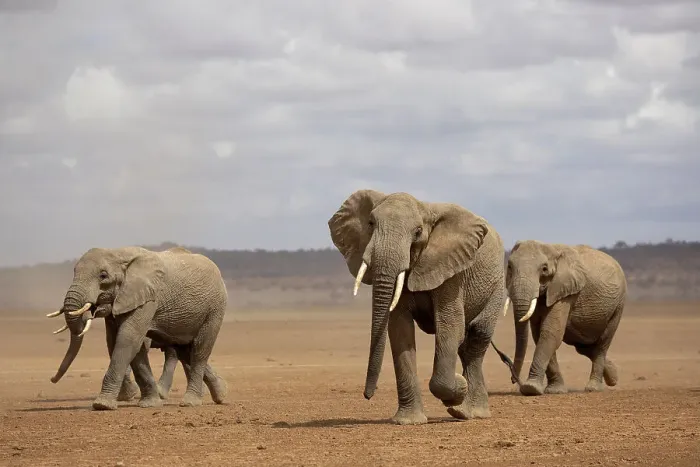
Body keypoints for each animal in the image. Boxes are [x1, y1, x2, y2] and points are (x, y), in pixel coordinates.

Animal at [46, 246, 229, 410]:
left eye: (103, 276)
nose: (52, 379)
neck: (119, 253)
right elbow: (119, 343)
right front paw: (149, 404)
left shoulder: (148, 298)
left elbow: (128, 339)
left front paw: (102, 405)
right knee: (184, 350)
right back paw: (222, 395)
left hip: (215, 308)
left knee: (199, 351)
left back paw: (191, 402)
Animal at [328, 190, 507, 425]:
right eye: (371, 223)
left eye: (418, 232)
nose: (368, 395)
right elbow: (400, 330)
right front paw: (408, 422)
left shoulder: (452, 270)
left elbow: (449, 325)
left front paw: (459, 385)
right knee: (465, 345)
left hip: (497, 285)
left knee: (477, 336)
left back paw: (468, 411)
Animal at [504, 239, 627, 396]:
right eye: (509, 266)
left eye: (544, 269)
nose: (514, 380)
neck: (551, 249)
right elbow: (539, 334)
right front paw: (555, 390)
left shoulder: (565, 291)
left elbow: (550, 332)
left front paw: (531, 388)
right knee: (583, 346)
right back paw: (613, 375)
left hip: (618, 306)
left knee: (602, 344)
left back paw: (594, 388)